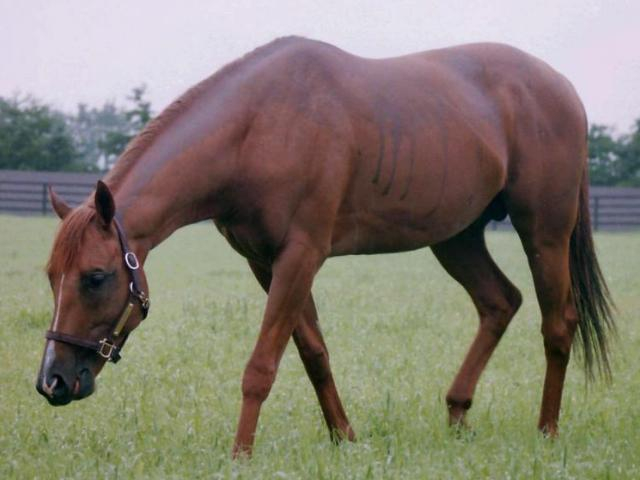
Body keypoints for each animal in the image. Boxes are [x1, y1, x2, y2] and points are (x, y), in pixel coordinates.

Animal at [36, 36, 614, 457]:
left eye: (96, 277)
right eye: (51, 277)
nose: (53, 382)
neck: (257, 127)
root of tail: (564, 89)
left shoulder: (301, 255)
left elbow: (261, 366)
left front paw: (240, 455)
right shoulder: (265, 263)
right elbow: (313, 353)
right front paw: (345, 438)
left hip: (543, 232)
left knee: (558, 323)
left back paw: (546, 432)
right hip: (457, 238)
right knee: (500, 303)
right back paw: (457, 410)